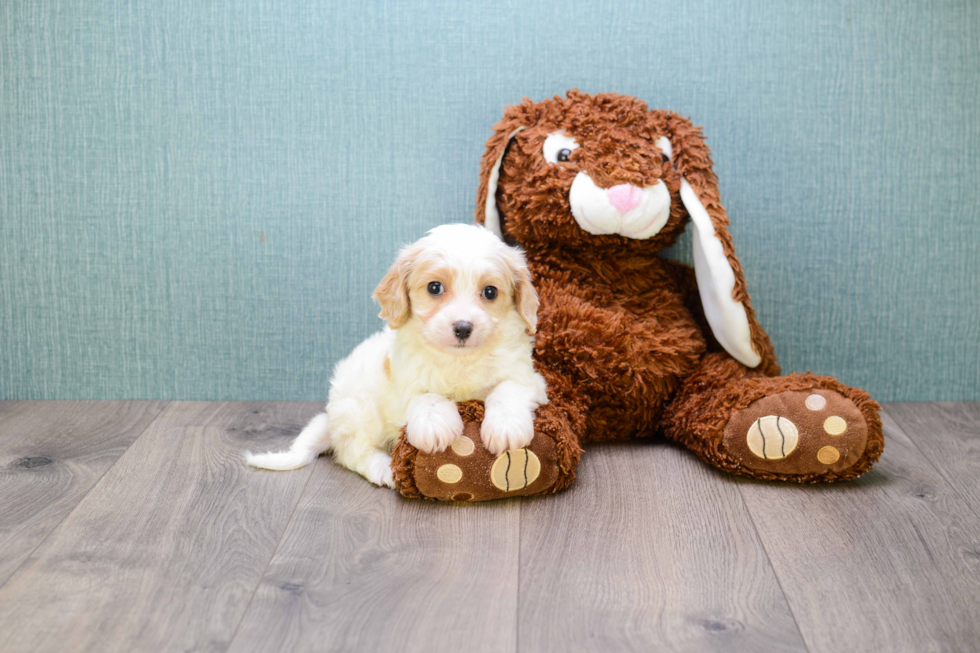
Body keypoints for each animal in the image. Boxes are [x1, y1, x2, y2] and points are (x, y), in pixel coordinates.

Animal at [245, 223, 548, 484]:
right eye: (435, 287)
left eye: (490, 292)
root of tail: (331, 419)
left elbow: (507, 389)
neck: (458, 360)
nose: (463, 328)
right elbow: (425, 396)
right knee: (352, 452)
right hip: (360, 411)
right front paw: (435, 425)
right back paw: (383, 469)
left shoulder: (529, 378)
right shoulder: (403, 383)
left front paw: (505, 427)